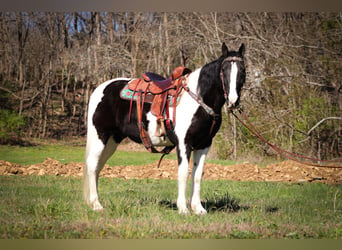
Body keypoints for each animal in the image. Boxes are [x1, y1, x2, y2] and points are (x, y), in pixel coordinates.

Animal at [84, 43, 247, 215]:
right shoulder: (184, 144)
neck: (198, 99)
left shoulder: (204, 144)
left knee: (98, 166)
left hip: (112, 140)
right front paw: (183, 208)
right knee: (92, 165)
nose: (233, 101)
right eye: (224, 70)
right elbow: (183, 173)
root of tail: (100, 89)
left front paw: (198, 208)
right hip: (100, 136)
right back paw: (96, 205)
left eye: (243, 71)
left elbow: (197, 175)